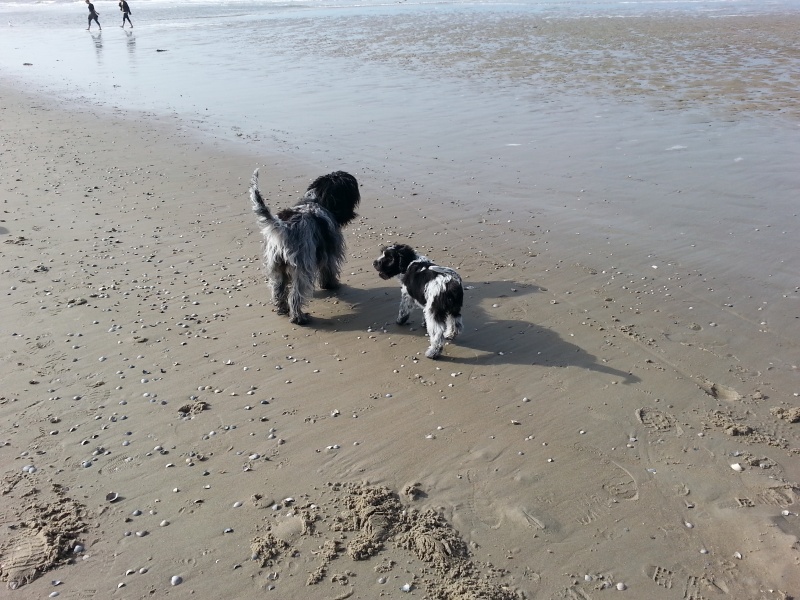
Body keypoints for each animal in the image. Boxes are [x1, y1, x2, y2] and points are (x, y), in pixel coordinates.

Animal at [249, 168, 360, 325]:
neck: (315, 200)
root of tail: (283, 227)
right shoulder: (330, 252)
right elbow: (329, 270)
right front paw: (331, 285)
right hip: (302, 268)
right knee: (295, 296)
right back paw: (299, 317)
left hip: (276, 266)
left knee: (278, 291)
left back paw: (282, 309)